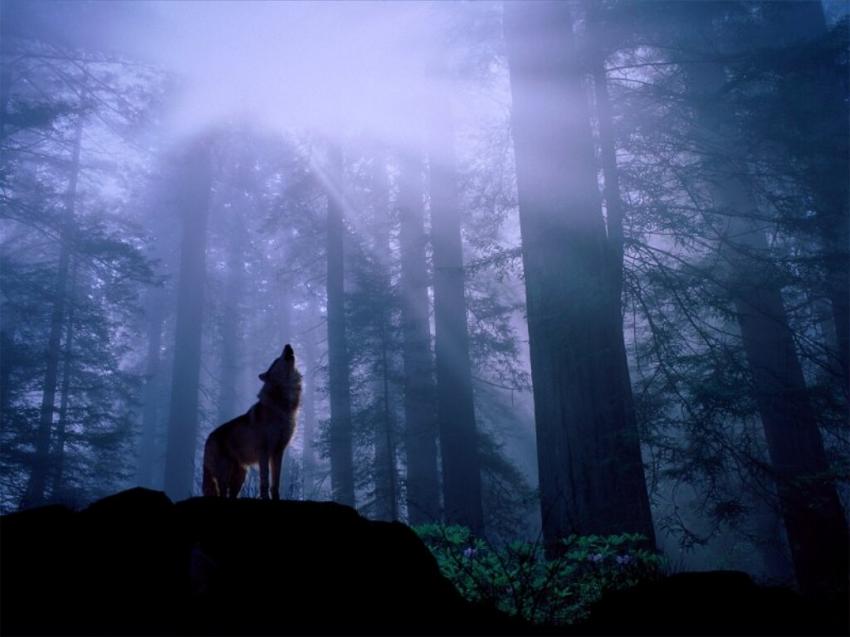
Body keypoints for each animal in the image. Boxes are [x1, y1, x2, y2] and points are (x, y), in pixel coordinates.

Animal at [202, 344, 302, 500]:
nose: (287, 345)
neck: (282, 406)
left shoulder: (278, 452)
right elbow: (265, 482)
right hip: (225, 474)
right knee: (222, 493)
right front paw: (265, 498)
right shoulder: (264, 452)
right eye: (275, 360)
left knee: (231, 495)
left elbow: (275, 483)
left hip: (240, 476)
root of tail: (208, 438)